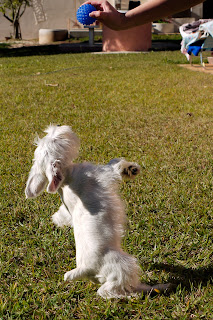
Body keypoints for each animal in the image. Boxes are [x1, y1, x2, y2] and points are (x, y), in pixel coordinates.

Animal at [25, 124, 170, 298]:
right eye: (55, 140)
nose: (60, 126)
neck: (66, 178)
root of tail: (84, 269)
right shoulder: (103, 173)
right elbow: (114, 163)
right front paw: (130, 168)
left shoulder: (66, 209)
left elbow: (61, 214)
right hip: (123, 265)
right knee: (116, 288)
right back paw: (149, 290)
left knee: (106, 290)